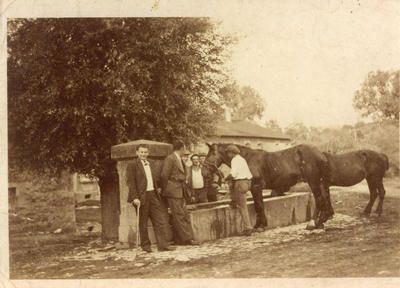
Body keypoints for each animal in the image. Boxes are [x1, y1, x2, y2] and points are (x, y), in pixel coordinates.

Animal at [202, 143, 332, 230]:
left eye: (212, 154)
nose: (204, 172)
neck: (247, 159)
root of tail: (321, 154)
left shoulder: (256, 186)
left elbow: (259, 206)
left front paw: (261, 226)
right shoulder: (254, 189)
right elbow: (258, 204)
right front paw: (259, 224)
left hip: (313, 181)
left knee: (320, 200)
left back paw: (315, 223)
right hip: (319, 182)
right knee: (324, 200)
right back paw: (321, 221)